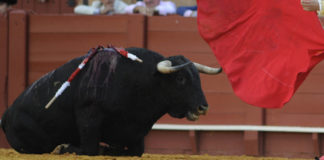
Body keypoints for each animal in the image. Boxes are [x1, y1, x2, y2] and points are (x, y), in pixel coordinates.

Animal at [0, 47, 220, 156]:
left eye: (197, 78)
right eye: (181, 79)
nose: (203, 107)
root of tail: (5, 116)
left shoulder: (137, 130)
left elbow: (136, 152)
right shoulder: (89, 115)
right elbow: (89, 149)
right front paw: (71, 148)